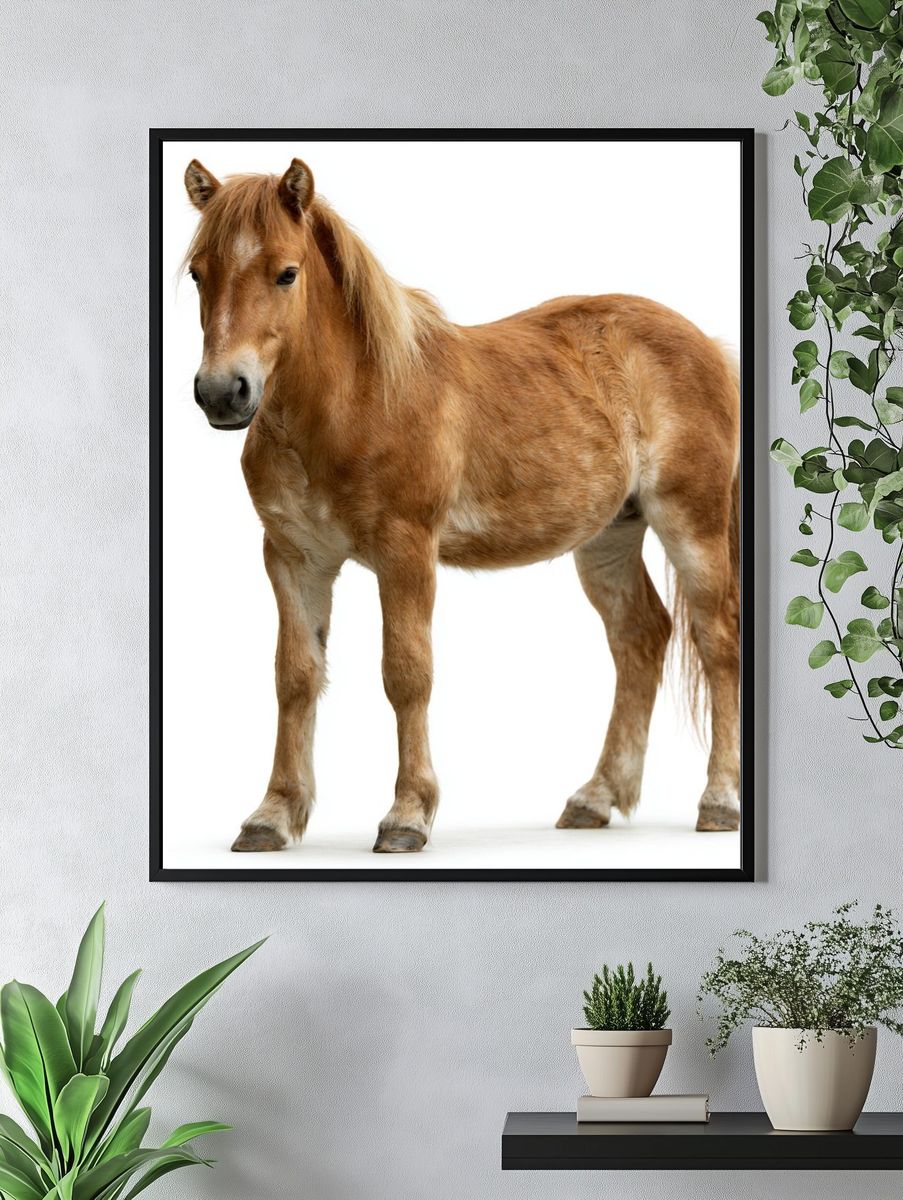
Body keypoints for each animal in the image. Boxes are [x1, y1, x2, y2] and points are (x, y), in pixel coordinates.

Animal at [181, 156, 741, 854]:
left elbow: (406, 674)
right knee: (640, 637)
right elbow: (296, 676)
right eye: (198, 273)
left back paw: (719, 801)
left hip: (691, 523)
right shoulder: (293, 557)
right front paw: (273, 816)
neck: (357, 400)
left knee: (717, 641)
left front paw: (406, 816)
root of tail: (709, 345)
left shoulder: (406, 551)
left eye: (287, 272)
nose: (221, 393)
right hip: (610, 535)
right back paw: (595, 798)